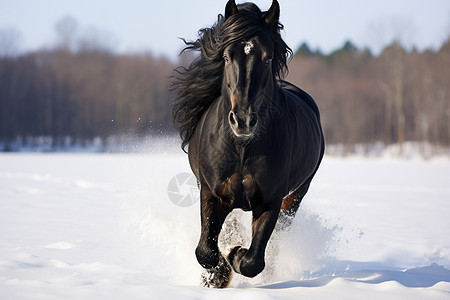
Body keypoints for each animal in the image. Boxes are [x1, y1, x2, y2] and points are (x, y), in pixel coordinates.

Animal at [171, 0, 324, 288]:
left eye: (267, 58)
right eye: (226, 56)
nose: (243, 120)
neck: (241, 149)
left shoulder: (271, 201)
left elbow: (254, 260)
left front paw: (234, 255)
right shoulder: (210, 192)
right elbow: (205, 250)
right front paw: (217, 275)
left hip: (294, 198)